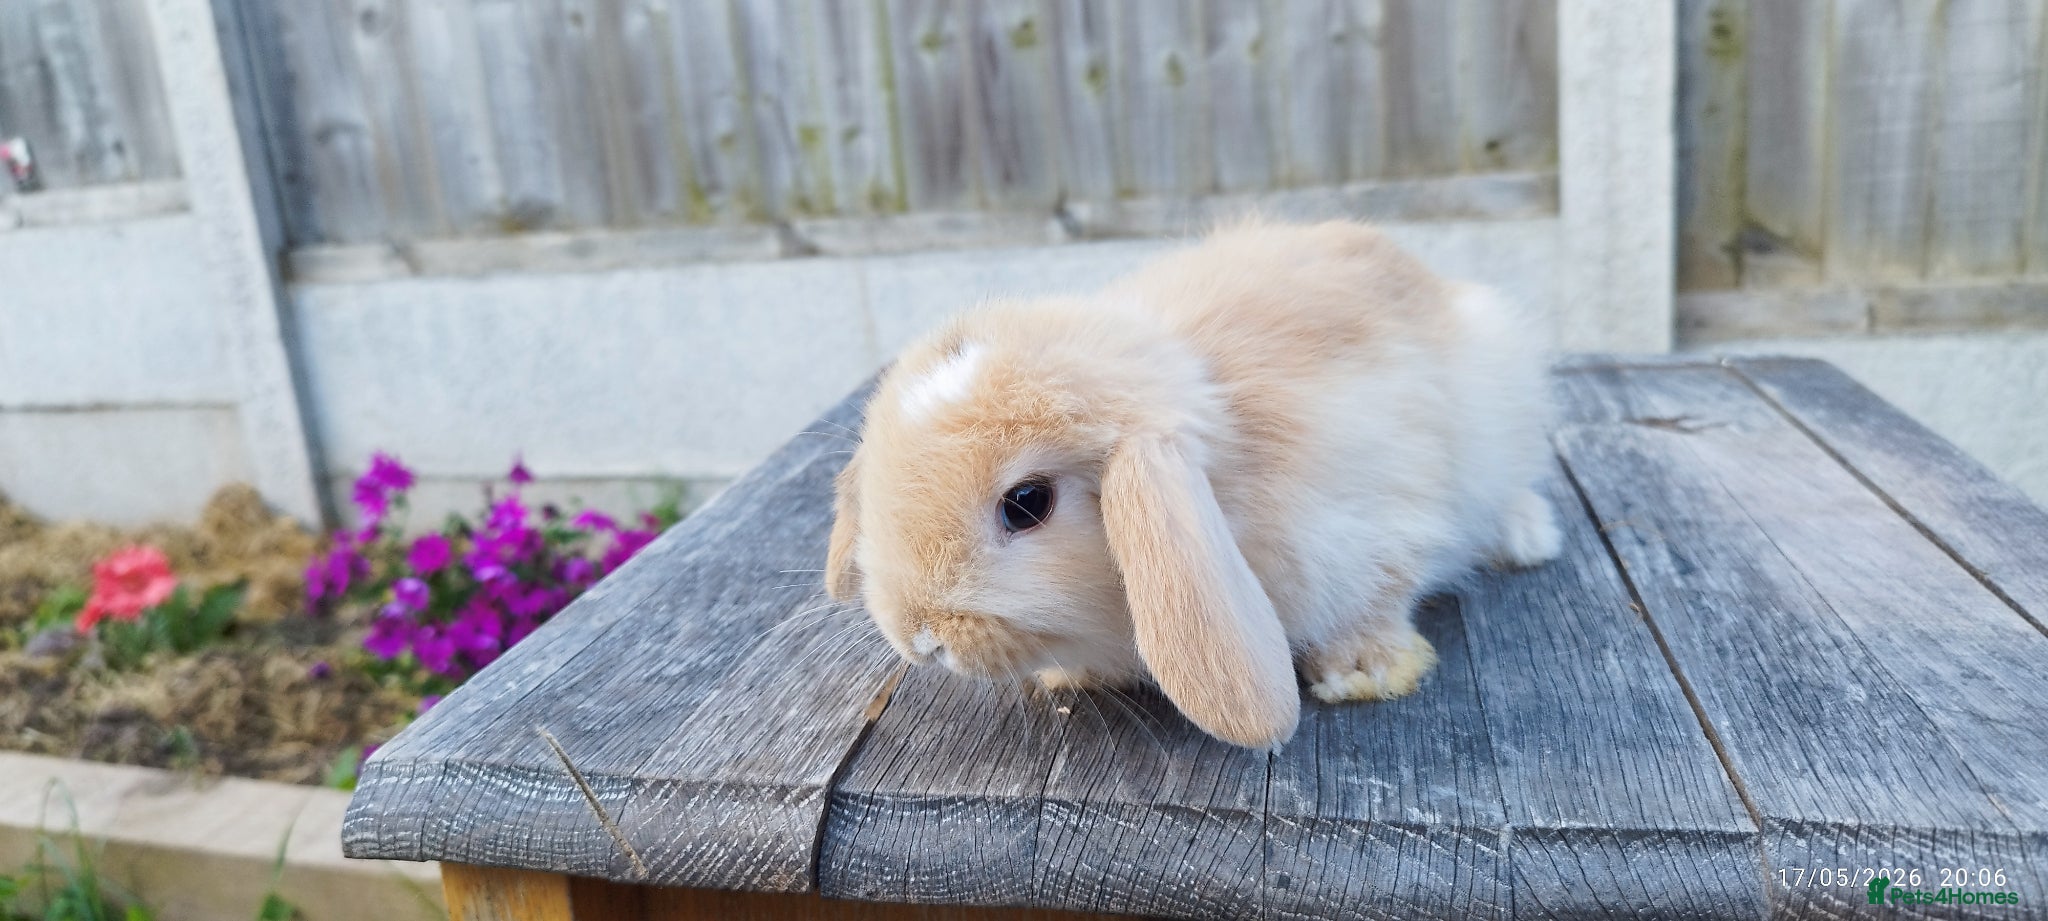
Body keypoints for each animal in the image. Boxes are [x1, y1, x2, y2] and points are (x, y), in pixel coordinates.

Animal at [825, 219, 1562, 749]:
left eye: (1026, 503)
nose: (920, 638)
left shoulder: (1378, 524)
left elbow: (1379, 595)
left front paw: (1364, 672)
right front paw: (1070, 674)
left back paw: (1529, 538)